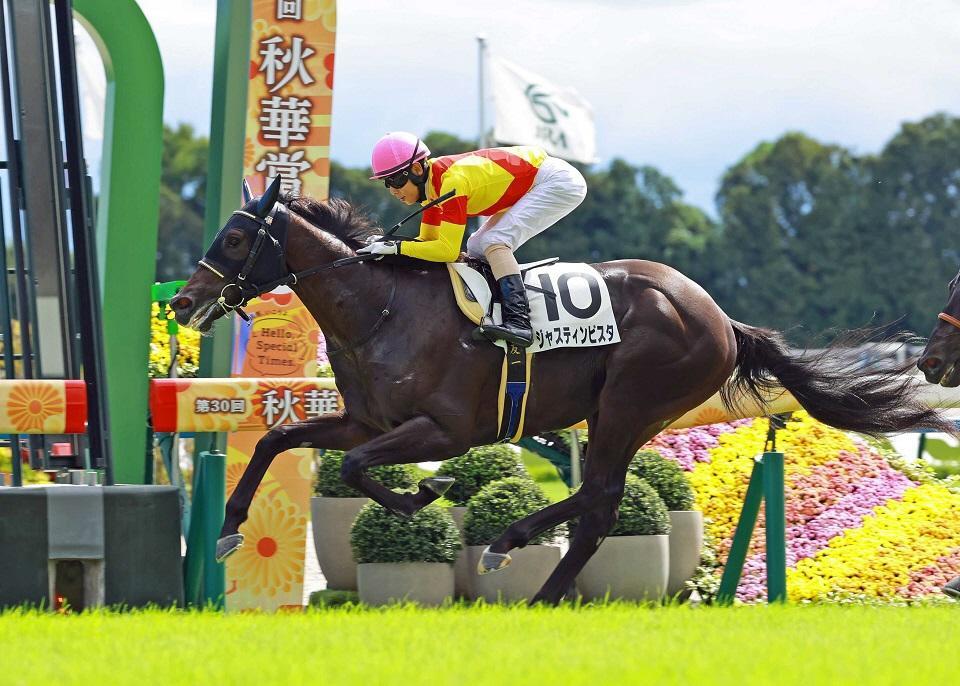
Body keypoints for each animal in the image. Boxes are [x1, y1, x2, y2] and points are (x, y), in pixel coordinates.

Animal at [172, 177, 953, 605]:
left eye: (236, 240)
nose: (183, 301)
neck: (381, 309)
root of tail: (720, 315)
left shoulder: (446, 428)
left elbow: (368, 471)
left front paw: (427, 494)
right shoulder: (365, 420)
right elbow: (279, 438)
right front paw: (229, 528)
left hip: (632, 403)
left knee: (603, 498)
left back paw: (519, 561)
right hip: (619, 413)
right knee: (598, 501)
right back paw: (525, 565)